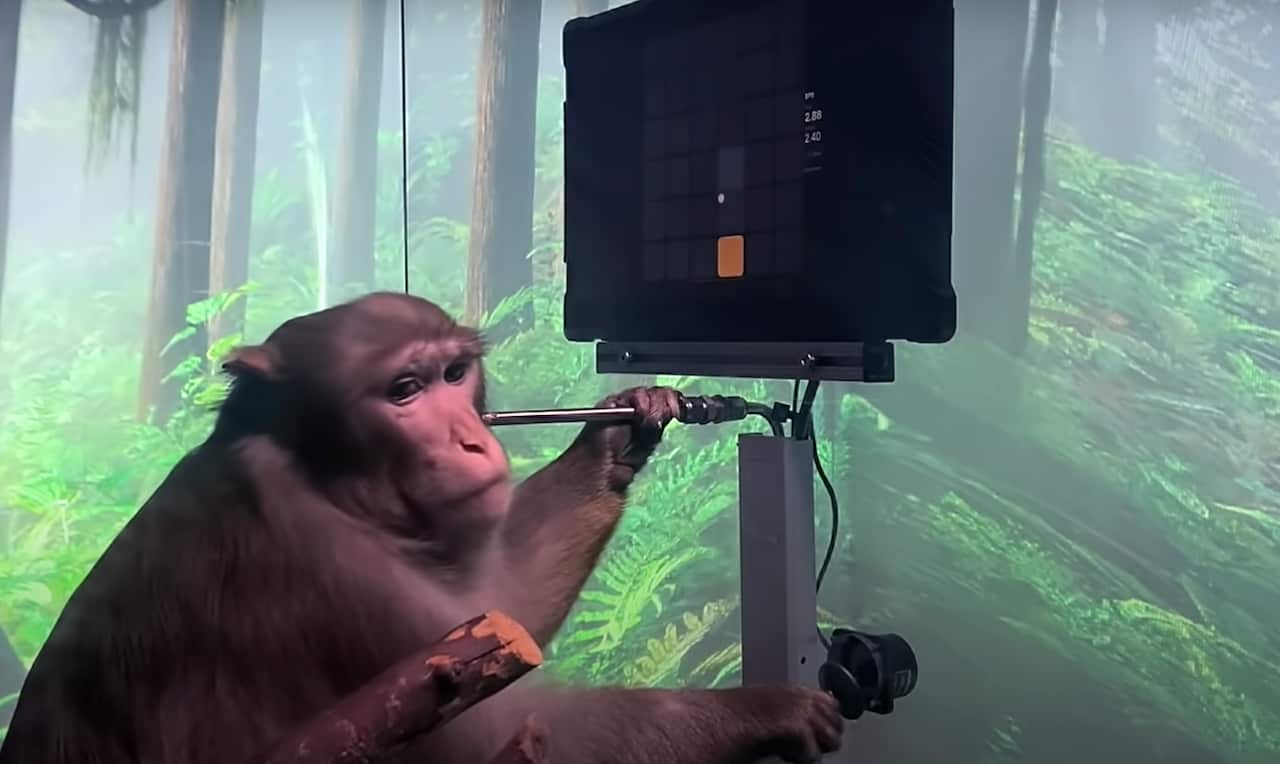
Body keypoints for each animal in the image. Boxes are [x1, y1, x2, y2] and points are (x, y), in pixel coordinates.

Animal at [0, 292, 843, 764]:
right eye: (405, 390)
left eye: (454, 375)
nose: (472, 438)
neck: (319, 472)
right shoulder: (323, 566)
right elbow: (513, 728)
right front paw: (766, 711)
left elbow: (500, 607)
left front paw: (621, 432)